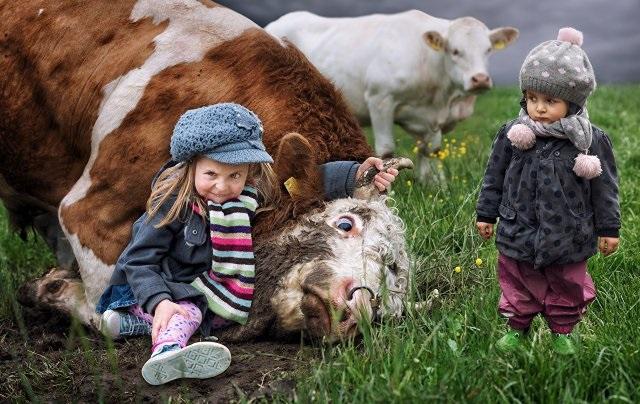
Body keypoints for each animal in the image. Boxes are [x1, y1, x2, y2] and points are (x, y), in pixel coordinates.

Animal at [0, 0, 410, 340]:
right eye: (345, 223)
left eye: (390, 289)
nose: (359, 307)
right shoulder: (89, 212)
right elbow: (113, 310)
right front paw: (50, 289)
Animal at [266, 10, 520, 181]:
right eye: (455, 51)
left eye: (488, 50)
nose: (480, 79)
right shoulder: (380, 99)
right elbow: (387, 150)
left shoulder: (431, 117)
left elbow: (431, 150)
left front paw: (433, 183)